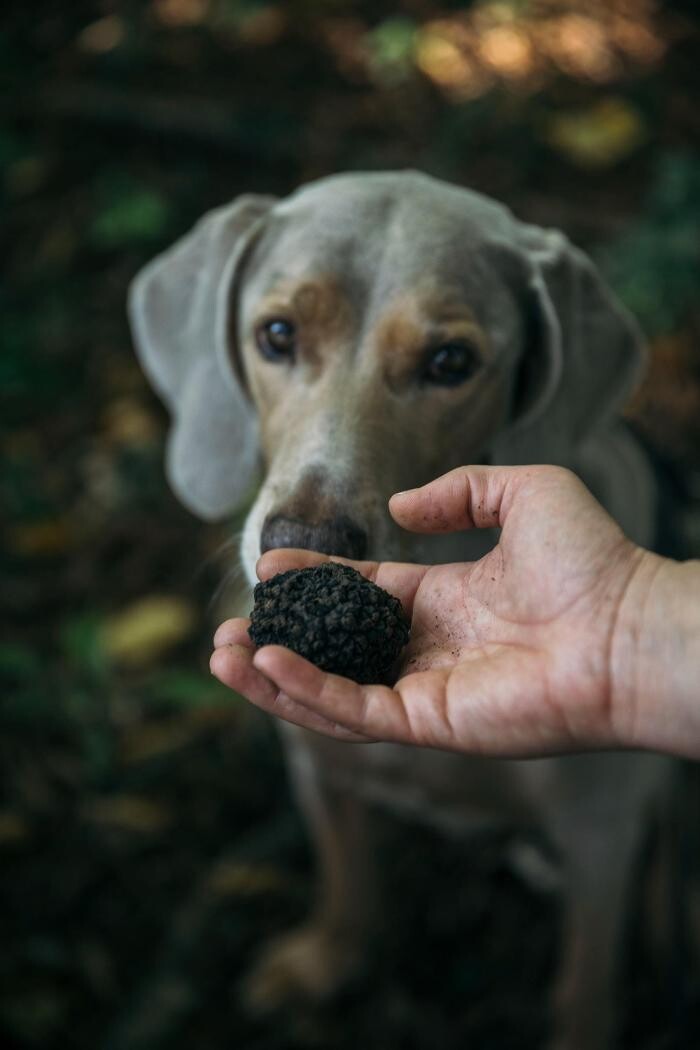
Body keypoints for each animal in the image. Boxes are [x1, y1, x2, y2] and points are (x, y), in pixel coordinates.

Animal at [127, 174, 671, 1050]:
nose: (305, 544)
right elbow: (346, 876)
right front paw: (326, 960)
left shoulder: (600, 831)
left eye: (451, 362)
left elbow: (584, 982)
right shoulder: (319, 768)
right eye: (276, 334)